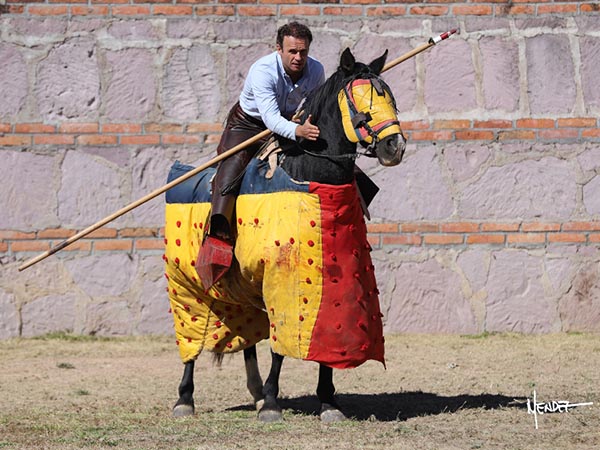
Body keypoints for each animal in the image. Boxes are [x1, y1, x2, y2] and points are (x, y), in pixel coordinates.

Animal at [164, 47, 406, 424]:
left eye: (390, 98)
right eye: (359, 102)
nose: (395, 146)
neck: (308, 171)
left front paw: (328, 402)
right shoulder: (282, 279)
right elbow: (281, 345)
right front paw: (272, 404)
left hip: (238, 291)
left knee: (247, 338)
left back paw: (254, 392)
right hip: (186, 285)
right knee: (191, 340)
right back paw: (185, 399)